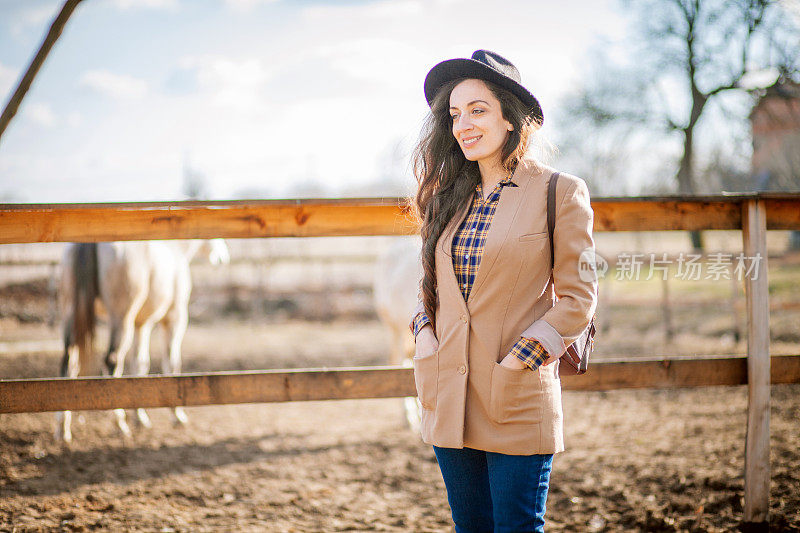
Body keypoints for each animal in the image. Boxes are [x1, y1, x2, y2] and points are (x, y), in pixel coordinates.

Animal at [54, 239, 230, 442]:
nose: (222, 257)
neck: (174, 249)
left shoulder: (142, 324)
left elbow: (140, 365)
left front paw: (140, 417)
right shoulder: (174, 319)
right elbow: (172, 363)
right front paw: (177, 416)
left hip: (71, 314)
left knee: (68, 363)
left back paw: (62, 429)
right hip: (121, 319)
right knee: (111, 362)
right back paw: (120, 423)